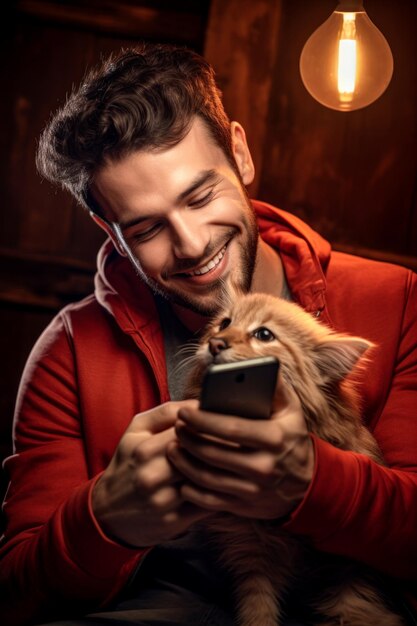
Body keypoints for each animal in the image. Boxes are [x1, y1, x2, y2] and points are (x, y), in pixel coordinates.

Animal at [184, 292, 404, 624]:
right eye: (224, 323)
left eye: (264, 335)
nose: (216, 343)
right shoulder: (251, 554)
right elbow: (258, 612)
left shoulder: (351, 576)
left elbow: (354, 606)